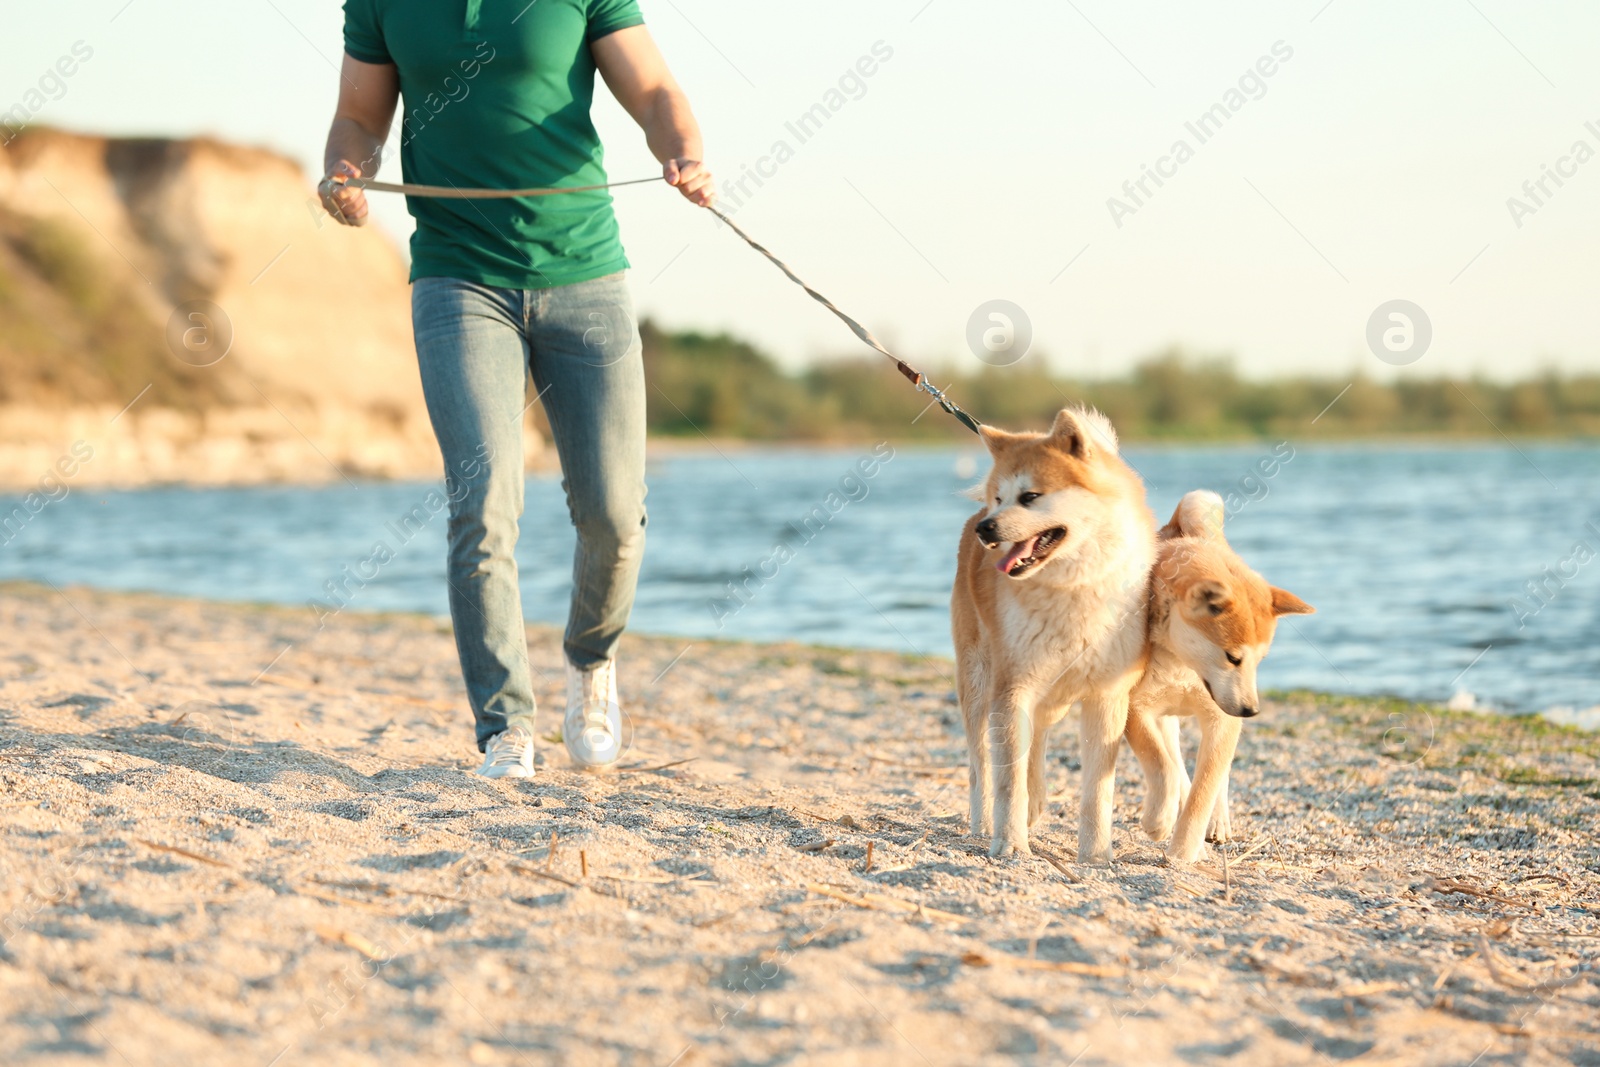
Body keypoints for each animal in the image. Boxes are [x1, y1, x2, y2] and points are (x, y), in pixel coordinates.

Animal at [940, 409, 1158, 870]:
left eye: (1030, 496)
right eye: (999, 497)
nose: (987, 528)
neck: (1073, 590)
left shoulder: (1106, 697)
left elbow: (1097, 793)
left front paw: (1096, 854)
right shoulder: (1012, 686)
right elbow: (1008, 781)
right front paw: (1010, 844)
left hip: (1051, 695)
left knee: (1036, 736)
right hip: (980, 684)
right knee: (981, 765)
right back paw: (982, 824)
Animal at [1126, 492, 1312, 870]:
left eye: (1260, 660)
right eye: (1233, 657)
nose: (1251, 710)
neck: (1185, 667)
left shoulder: (1222, 720)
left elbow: (1204, 792)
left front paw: (1184, 851)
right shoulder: (1134, 707)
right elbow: (1162, 765)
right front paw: (1159, 821)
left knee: (1215, 779)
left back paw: (1216, 823)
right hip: (1167, 717)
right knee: (1176, 764)